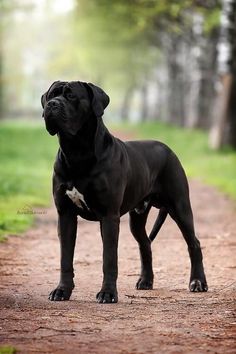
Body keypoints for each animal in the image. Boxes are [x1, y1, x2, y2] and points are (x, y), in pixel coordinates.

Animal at [41, 81, 207, 304]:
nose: (52, 104)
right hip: (136, 218)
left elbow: (109, 259)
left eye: (71, 96)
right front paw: (62, 290)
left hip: (180, 207)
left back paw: (198, 282)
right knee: (145, 244)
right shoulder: (65, 214)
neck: (77, 151)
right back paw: (146, 281)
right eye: (51, 95)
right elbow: (65, 258)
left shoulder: (109, 216)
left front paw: (108, 293)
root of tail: (168, 149)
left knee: (194, 244)